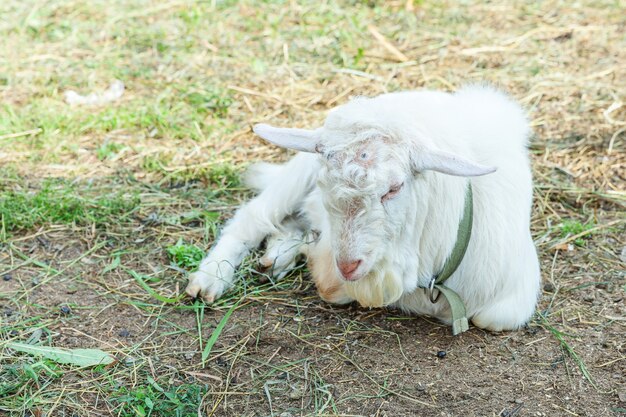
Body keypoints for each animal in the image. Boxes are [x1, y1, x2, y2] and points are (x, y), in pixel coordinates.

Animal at [185, 84, 540, 332]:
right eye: (324, 182)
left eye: (394, 188)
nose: (347, 265)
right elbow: (329, 285)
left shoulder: (508, 302)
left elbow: (492, 318)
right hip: (297, 170)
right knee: (254, 217)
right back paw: (210, 279)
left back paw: (278, 255)